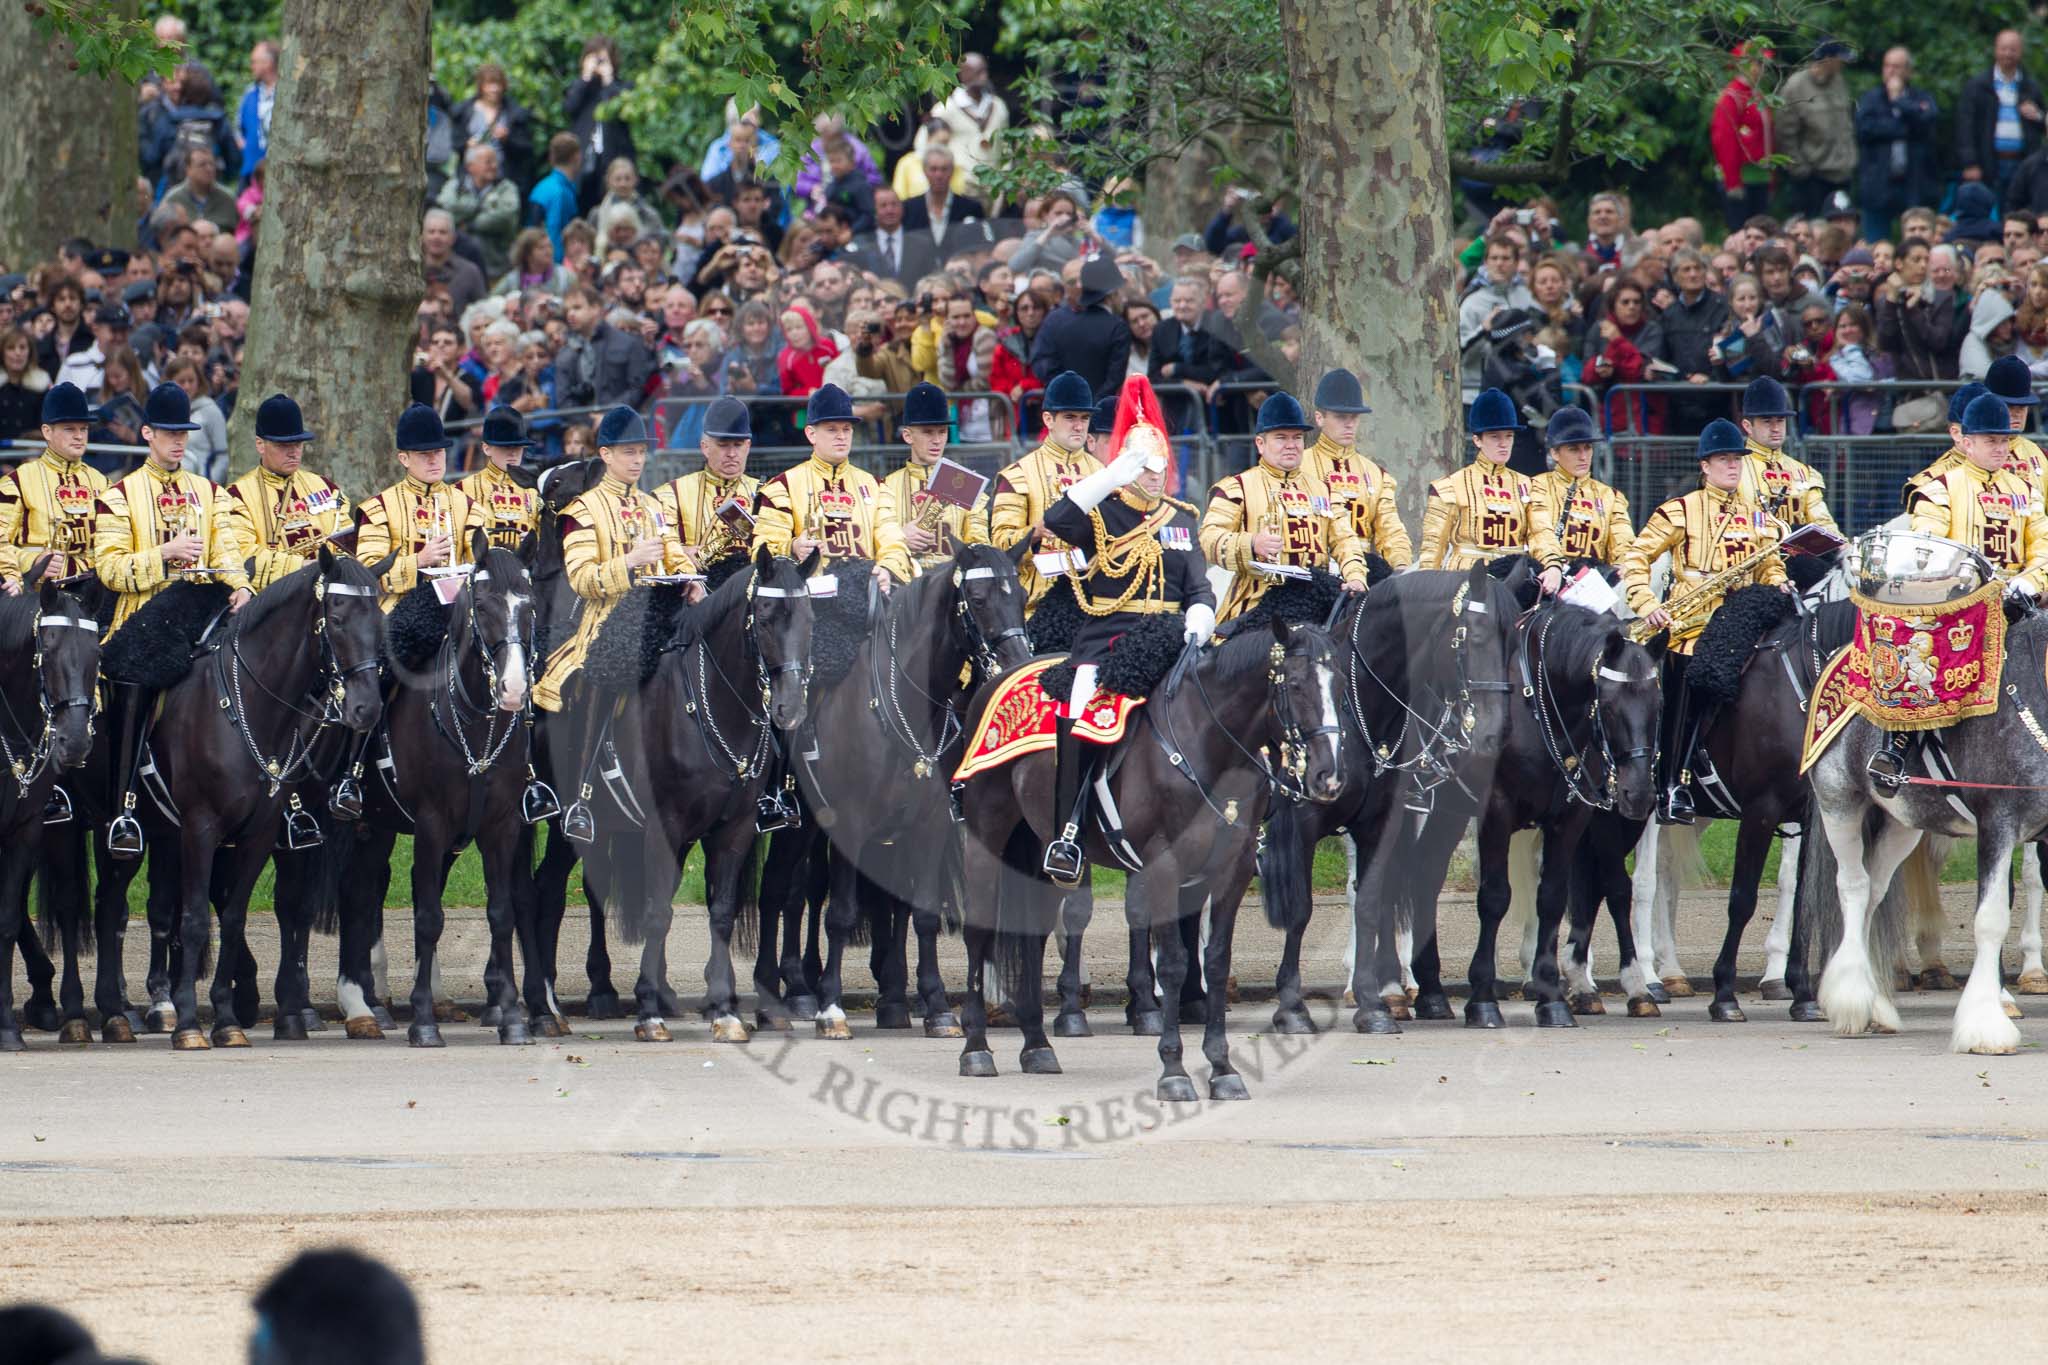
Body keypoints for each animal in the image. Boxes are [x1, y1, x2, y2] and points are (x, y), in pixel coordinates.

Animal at [753, 540, 1032, 1039]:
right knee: (779, 892)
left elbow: (922, 912)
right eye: (978, 599)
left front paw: (936, 1005)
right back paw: (783, 995)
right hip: (796, 826)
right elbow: (841, 914)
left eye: (1019, 594)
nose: (1017, 665)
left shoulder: (930, 823)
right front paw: (832, 1007)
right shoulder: (850, 824)